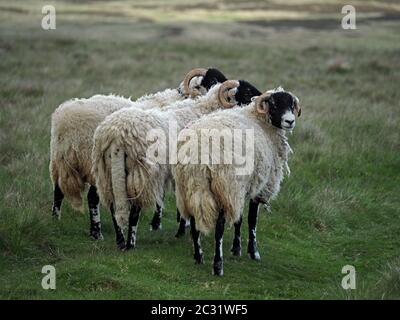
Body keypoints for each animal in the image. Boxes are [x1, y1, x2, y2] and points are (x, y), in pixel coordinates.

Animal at [48, 67, 225, 241]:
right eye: (213, 81)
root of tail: (66, 122)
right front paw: (166, 224)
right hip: (94, 164)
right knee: (92, 197)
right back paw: (97, 232)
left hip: (61, 159)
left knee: (58, 190)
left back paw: (56, 221)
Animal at [90, 79, 260, 250]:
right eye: (246, 92)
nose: (259, 101)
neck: (202, 110)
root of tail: (116, 133)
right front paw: (182, 229)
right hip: (140, 172)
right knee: (134, 210)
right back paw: (130, 243)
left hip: (106, 172)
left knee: (113, 205)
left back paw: (119, 240)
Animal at [173, 87, 302, 276]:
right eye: (274, 104)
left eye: (292, 104)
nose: (290, 121)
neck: (262, 123)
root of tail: (198, 150)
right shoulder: (256, 186)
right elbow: (251, 221)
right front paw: (253, 252)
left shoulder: (242, 187)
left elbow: (238, 219)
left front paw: (236, 248)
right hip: (223, 187)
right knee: (219, 229)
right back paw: (217, 265)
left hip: (190, 189)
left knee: (195, 222)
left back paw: (198, 257)